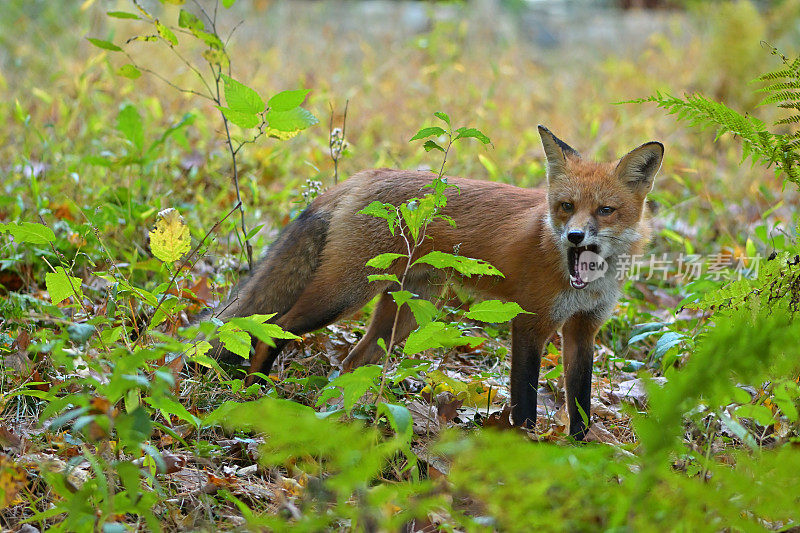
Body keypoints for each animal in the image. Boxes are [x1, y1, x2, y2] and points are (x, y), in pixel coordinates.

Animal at [208, 127, 664, 438]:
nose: (575, 236)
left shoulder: (583, 330)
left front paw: (581, 458)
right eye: (566, 206)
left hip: (404, 313)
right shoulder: (529, 323)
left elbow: (581, 408)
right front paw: (524, 451)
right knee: (276, 327)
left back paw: (346, 413)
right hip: (343, 295)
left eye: (605, 210)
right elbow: (525, 403)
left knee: (353, 360)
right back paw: (255, 391)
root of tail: (363, 176)